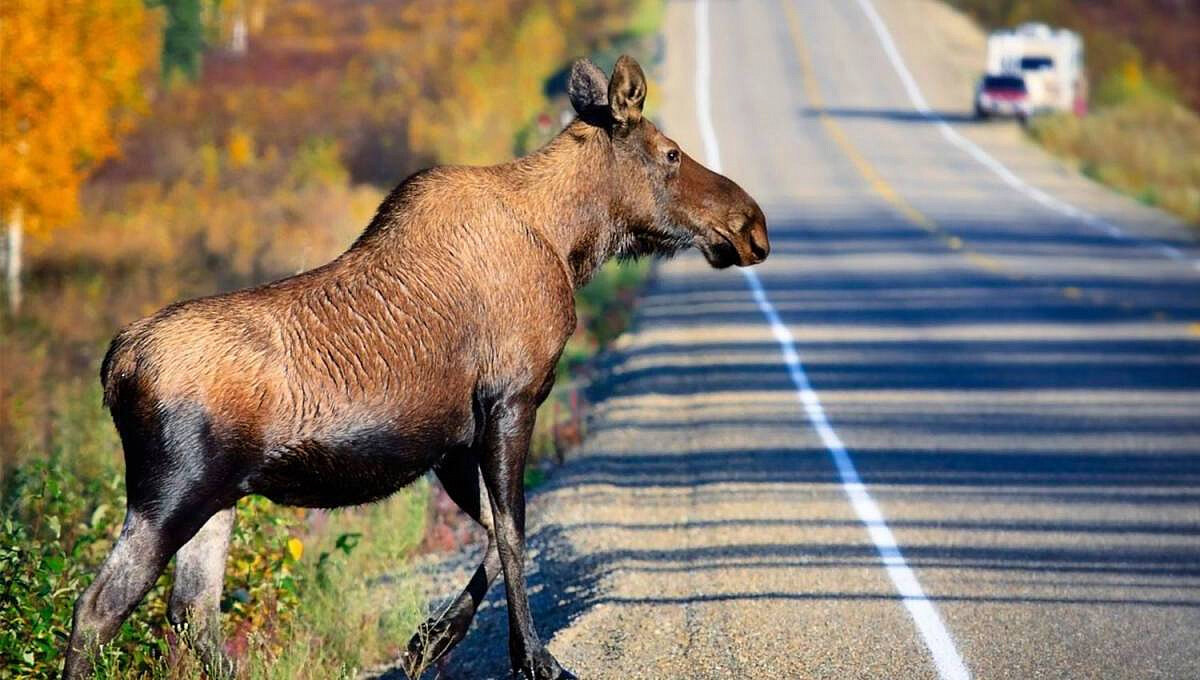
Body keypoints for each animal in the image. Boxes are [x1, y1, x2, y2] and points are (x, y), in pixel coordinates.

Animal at [68, 54, 768, 680]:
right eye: (670, 153)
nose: (751, 225)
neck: (570, 243)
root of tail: (115, 367)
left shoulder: (452, 442)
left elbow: (496, 534)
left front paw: (430, 640)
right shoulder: (511, 401)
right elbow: (514, 532)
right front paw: (532, 659)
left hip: (218, 500)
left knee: (193, 615)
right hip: (171, 493)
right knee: (97, 608)